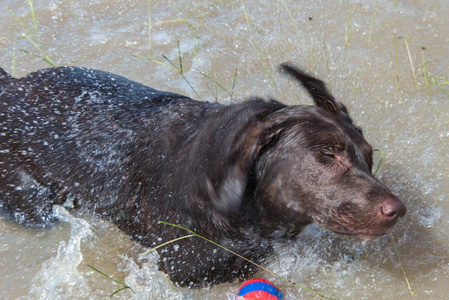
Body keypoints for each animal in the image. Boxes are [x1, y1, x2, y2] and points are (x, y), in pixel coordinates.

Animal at [0, 63, 406, 286]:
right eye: (327, 155)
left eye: (368, 157)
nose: (398, 210)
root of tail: (11, 85)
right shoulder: (190, 273)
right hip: (31, 206)